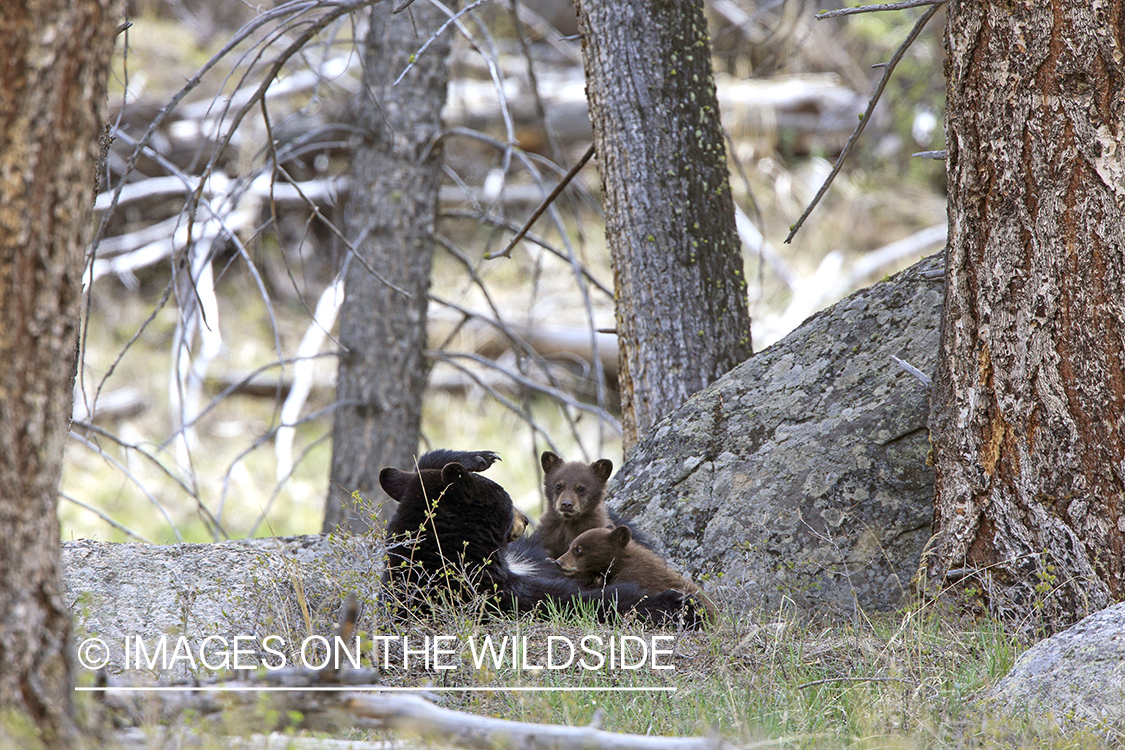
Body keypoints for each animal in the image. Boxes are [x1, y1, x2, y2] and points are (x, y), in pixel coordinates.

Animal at [378, 449, 697, 626]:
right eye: (508, 499)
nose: (526, 519)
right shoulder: (495, 595)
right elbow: (577, 602)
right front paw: (672, 604)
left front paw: (475, 458)